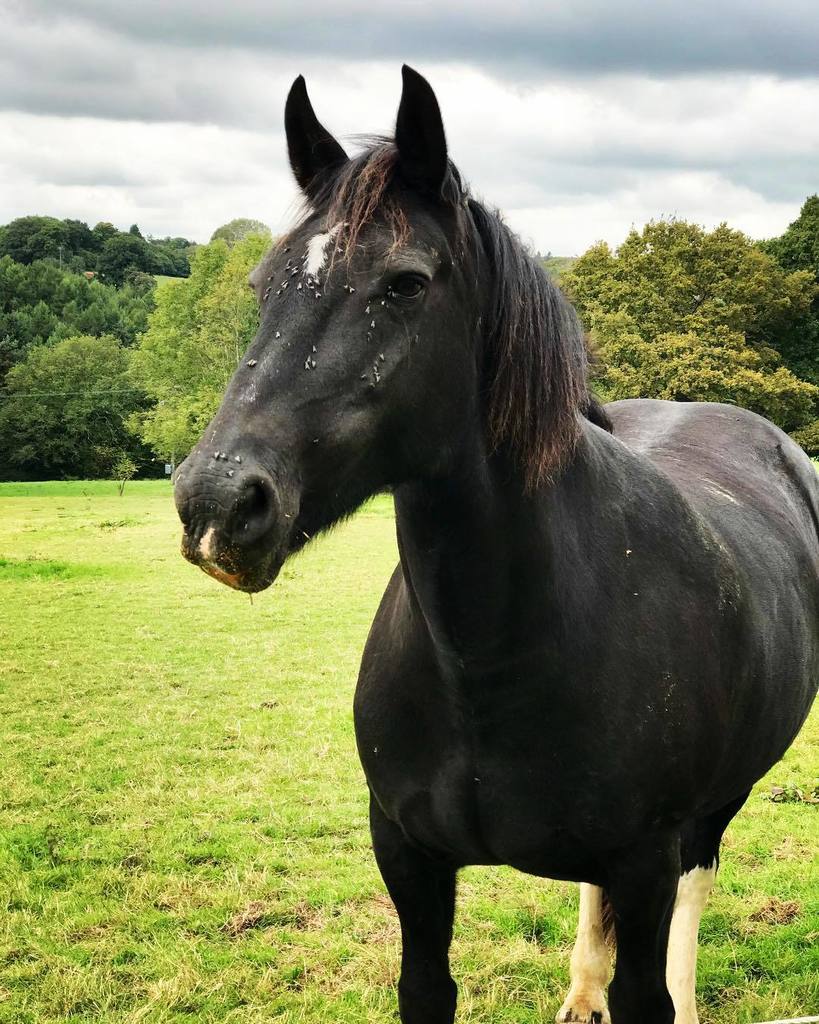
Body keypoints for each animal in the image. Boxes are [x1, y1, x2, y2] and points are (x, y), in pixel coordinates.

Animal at [173, 66, 819, 1024]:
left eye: (404, 283)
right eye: (265, 286)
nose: (217, 502)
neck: (487, 660)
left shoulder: (646, 859)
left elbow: (647, 979)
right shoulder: (406, 855)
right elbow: (428, 985)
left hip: (711, 810)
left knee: (694, 884)